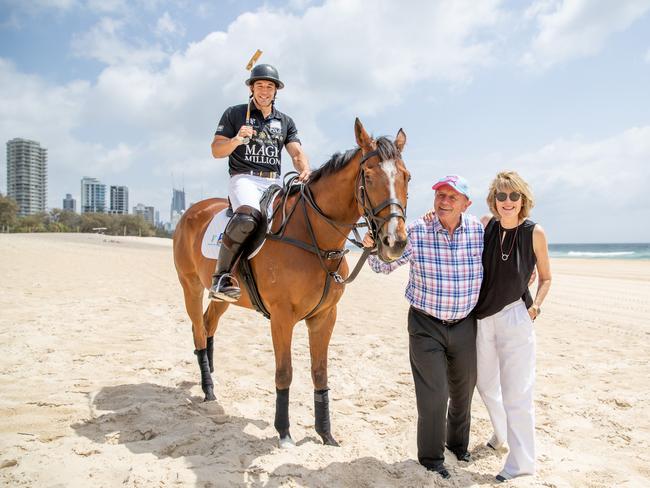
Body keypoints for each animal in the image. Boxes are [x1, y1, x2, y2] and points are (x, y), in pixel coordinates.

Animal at [170, 117, 408, 446]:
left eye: (407, 177)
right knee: (197, 329)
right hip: (189, 285)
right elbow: (285, 373)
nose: (394, 242)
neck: (315, 238)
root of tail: (191, 210)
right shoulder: (282, 317)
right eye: (369, 177)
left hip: (224, 296)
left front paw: (326, 434)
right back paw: (208, 389)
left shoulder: (325, 316)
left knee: (208, 325)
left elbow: (320, 373)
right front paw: (283, 432)